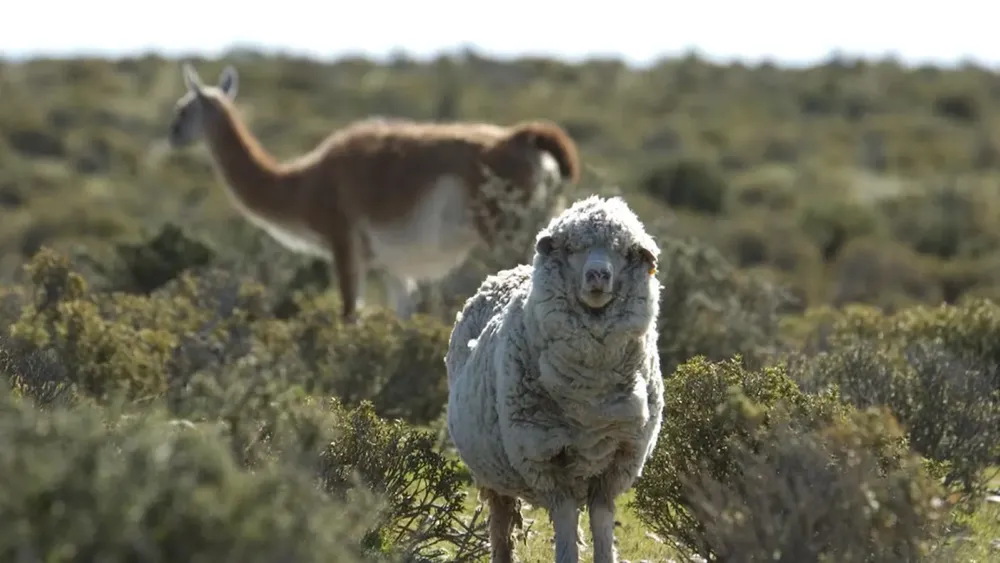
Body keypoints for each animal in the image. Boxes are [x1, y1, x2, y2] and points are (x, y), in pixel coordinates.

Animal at [165, 62, 581, 323]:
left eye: (182, 110)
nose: (171, 135)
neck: (302, 183)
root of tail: (520, 139)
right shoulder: (391, 264)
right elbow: (402, 318)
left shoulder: (343, 241)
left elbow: (350, 314)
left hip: (506, 231)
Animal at [445, 195, 664, 563]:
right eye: (572, 248)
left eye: (624, 251)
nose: (597, 275)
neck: (590, 397)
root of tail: (507, 271)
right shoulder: (545, 458)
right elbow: (564, 519)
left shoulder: (618, 461)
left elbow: (601, 522)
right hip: (492, 475)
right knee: (501, 525)